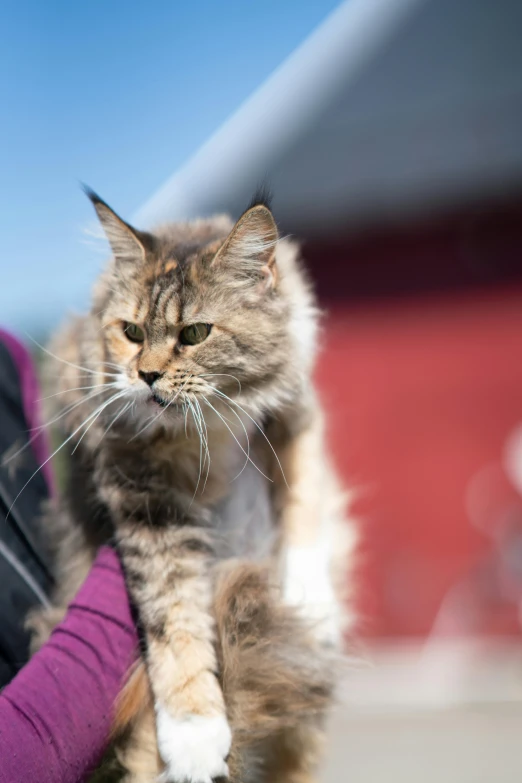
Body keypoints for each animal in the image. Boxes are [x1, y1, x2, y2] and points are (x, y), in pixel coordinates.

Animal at [29, 190, 354, 783]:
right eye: (132, 333)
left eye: (195, 334)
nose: (147, 376)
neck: (209, 425)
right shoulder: (144, 497)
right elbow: (172, 613)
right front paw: (194, 736)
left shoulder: (294, 411)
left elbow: (303, 502)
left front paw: (309, 599)